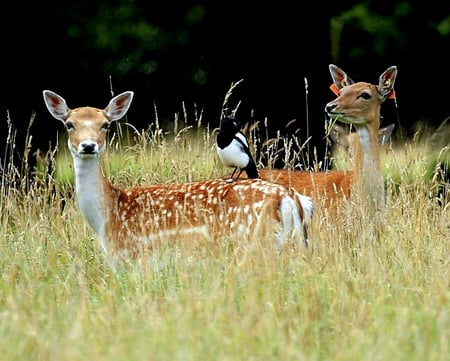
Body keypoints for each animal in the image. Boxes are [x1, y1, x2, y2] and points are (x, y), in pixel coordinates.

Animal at [44, 89, 314, 258]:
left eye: (106, 125)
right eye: (69, 124)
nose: (88, 146)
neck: (107, 217)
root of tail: (292, 199)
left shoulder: (137, 257)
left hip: (254, 241)